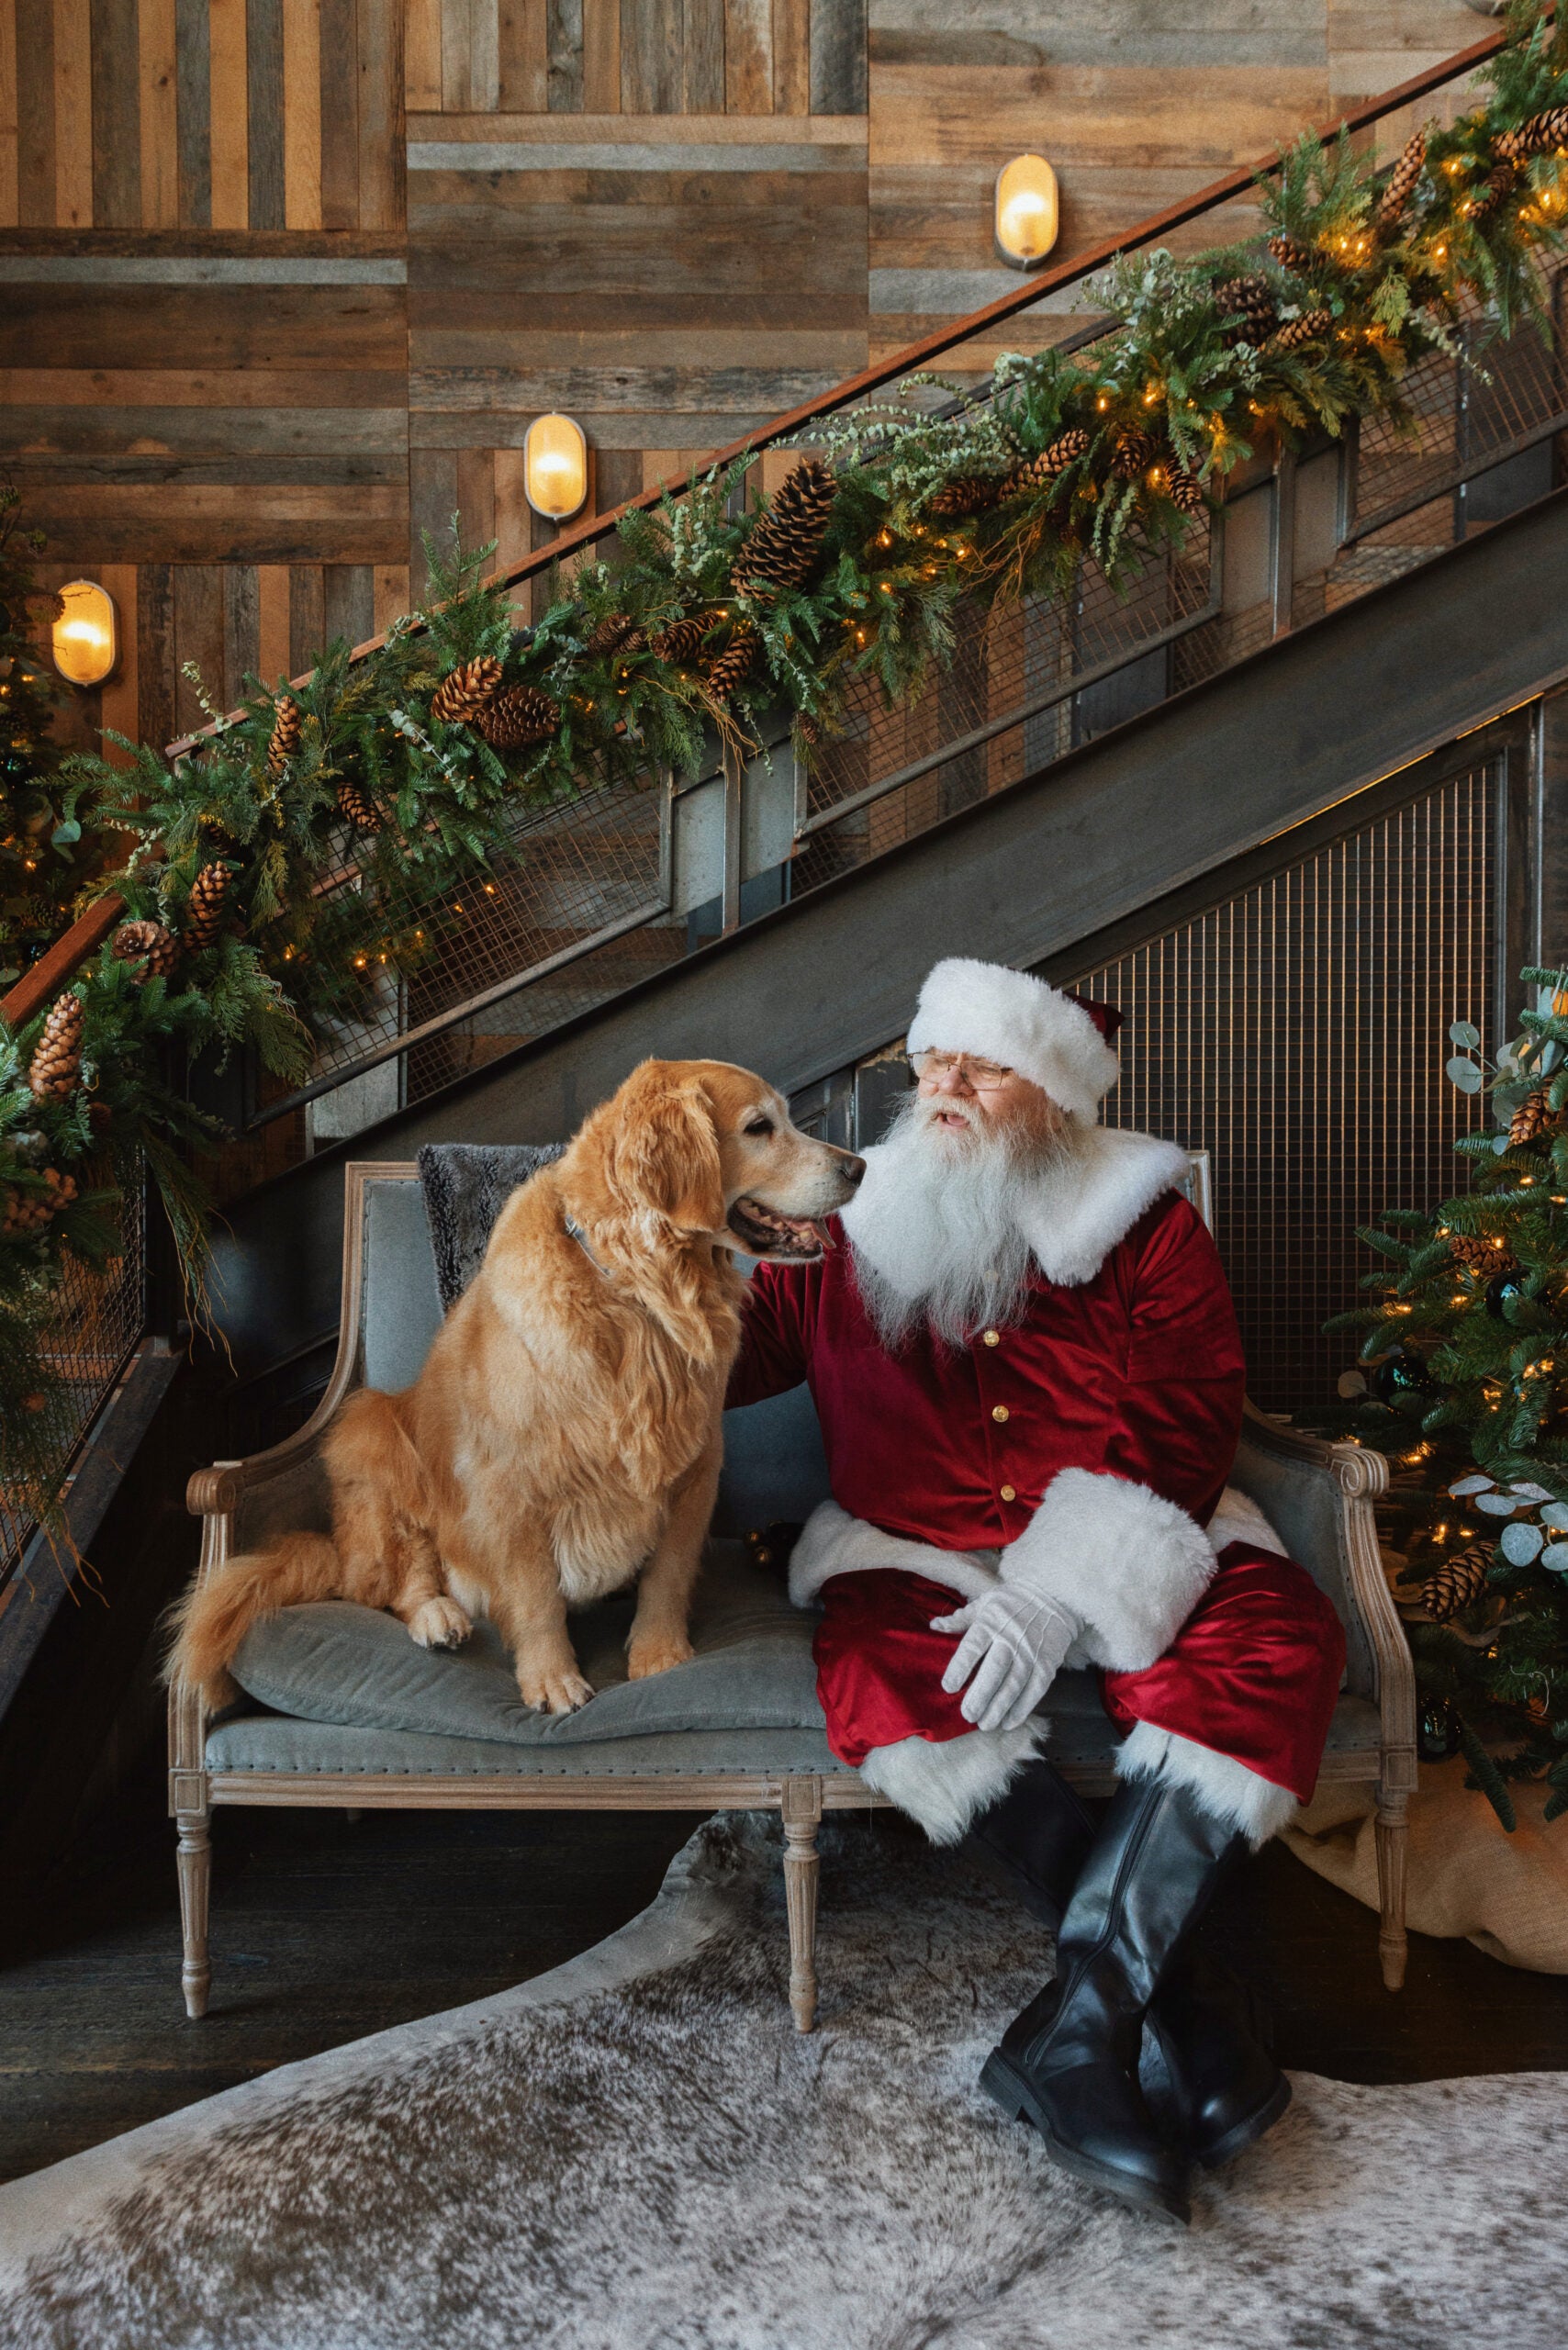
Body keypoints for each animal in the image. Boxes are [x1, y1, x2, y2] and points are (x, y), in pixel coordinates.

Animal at [171, 1062, 865, 1710]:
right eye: (759, 1127)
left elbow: (668, 1575)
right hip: (374, 1435)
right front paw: (552, 1679)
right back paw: (438, 1615)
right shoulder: (514, 1483)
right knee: (398, 1581)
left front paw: (659, 1657)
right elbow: (535, 1598)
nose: (858, 1165)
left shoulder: (695, 1466)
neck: (637, 1295)